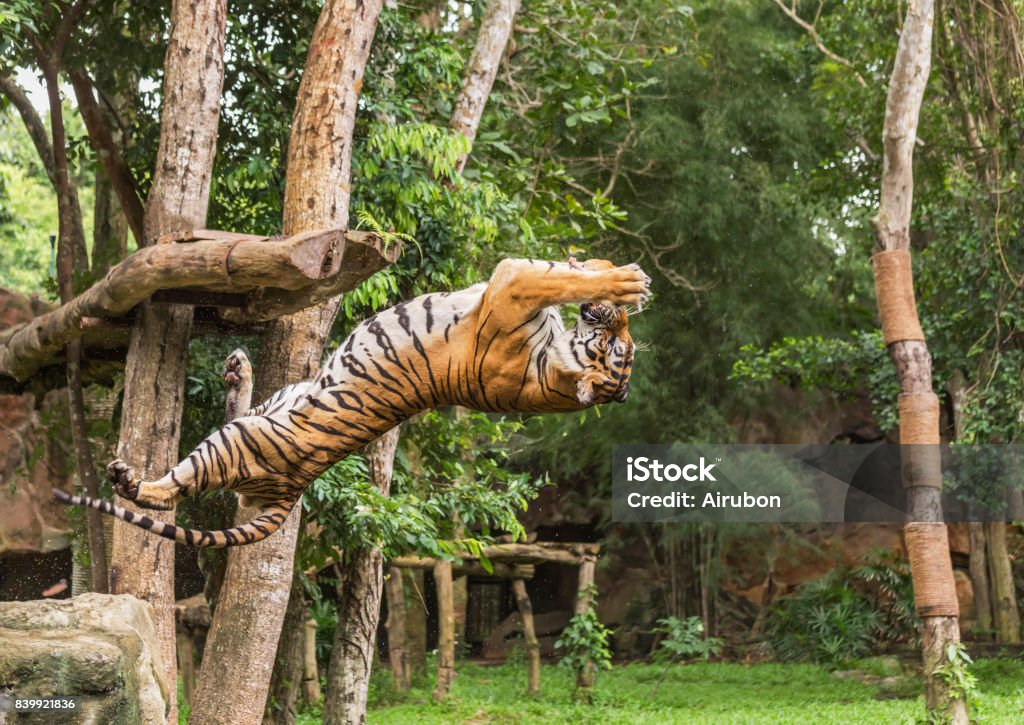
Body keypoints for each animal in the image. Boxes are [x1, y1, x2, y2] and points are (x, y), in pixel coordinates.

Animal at [54, 258, 647, 544]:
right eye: (623, 343)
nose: (616, 321)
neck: (553, 373)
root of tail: (292, 492)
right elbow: (566, 274)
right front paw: (620, 277)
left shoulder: (510, 285)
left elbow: (551, 279)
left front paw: (619, 283)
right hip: (280, 401)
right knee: (241, 408)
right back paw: (237, 370)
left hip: (238, 441)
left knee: (168, 490)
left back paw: (132, 480)